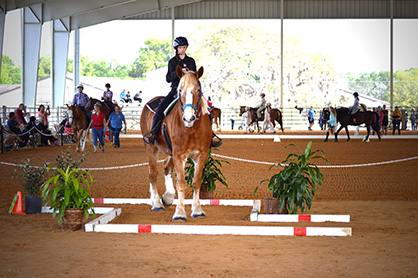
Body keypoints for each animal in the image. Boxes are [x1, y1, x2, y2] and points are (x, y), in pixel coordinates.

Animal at [140, 65, 212, 222]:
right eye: (180, 90)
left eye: (198, 90)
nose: (189, 118)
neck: (191, 128)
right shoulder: (179, 155)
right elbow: (181, 183)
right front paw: (179, 213)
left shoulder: (201, 155)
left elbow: (196, 181)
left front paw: (197, 210)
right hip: (151, 148)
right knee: (153, 173)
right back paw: (156, 203)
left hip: (170, 152)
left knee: (166, 167)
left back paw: (167, 197)